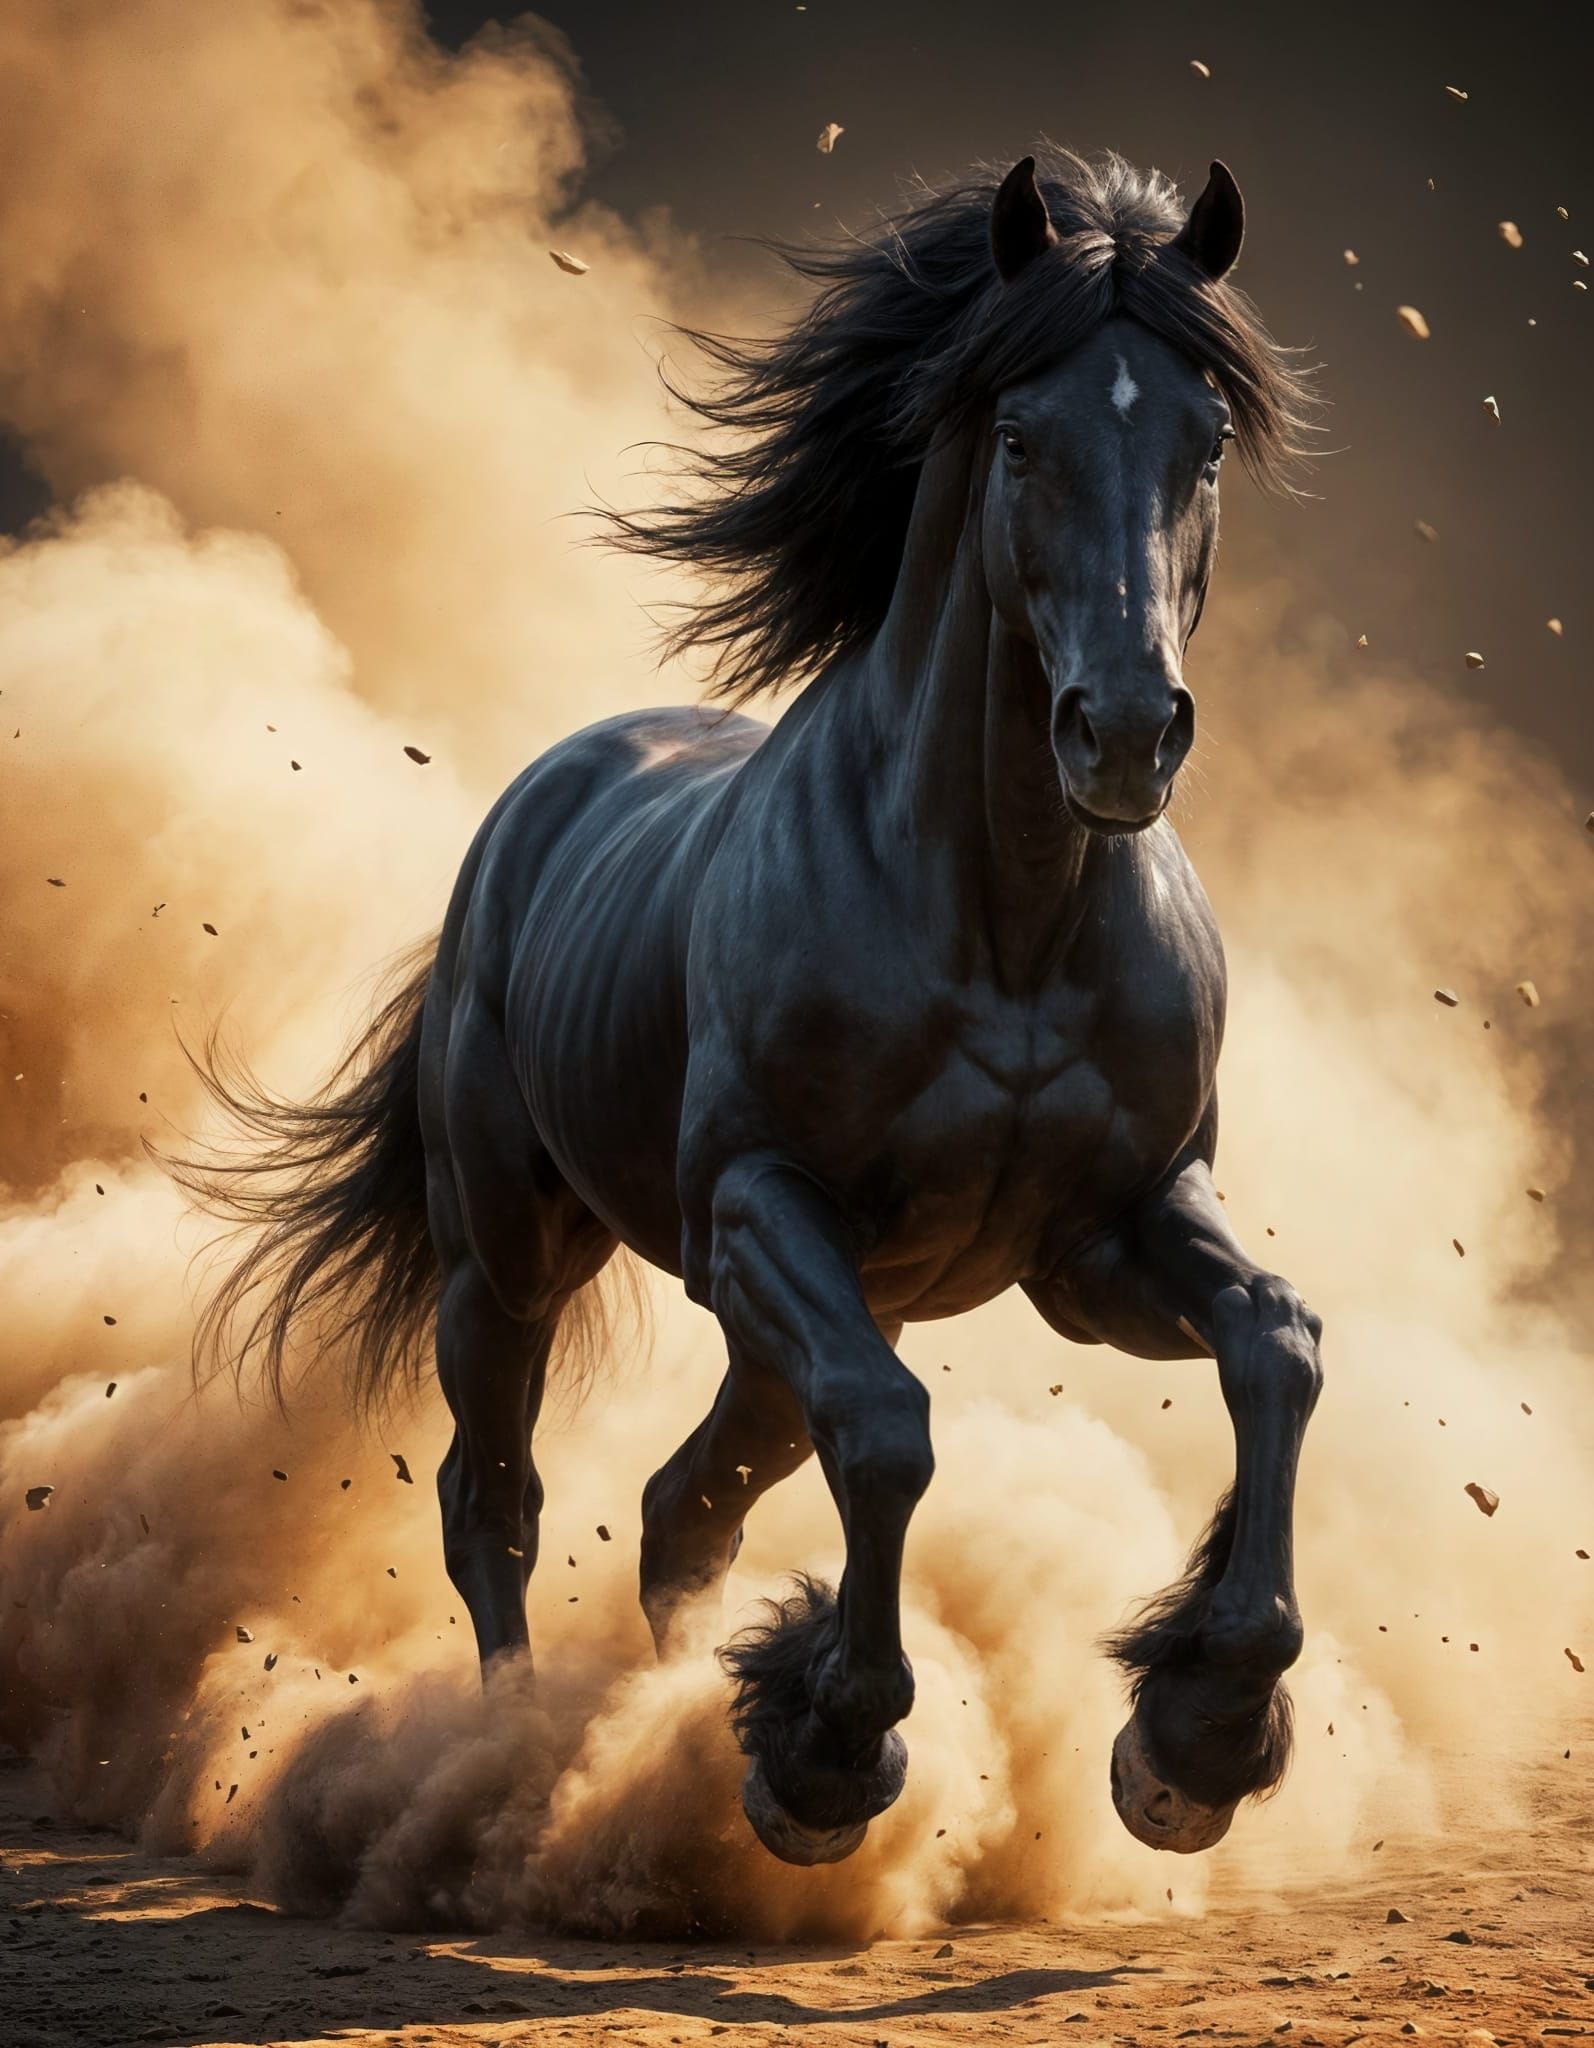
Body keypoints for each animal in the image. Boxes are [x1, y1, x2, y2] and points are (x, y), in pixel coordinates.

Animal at [177, 147, 1323, 1869]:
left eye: (1202, 443)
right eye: (1019, 438)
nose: (1123, 731)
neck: (1004, 923)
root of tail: (537, 805)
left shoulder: (1108, 1231)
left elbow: (1273, 1343)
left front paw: (1198, 1732)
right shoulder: (754, 1208)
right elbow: (890, 1432)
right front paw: (830, 1752)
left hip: (825, 1303)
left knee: (684, 1509)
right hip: (508, 1262)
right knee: (495, 1502)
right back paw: (517, 1763)